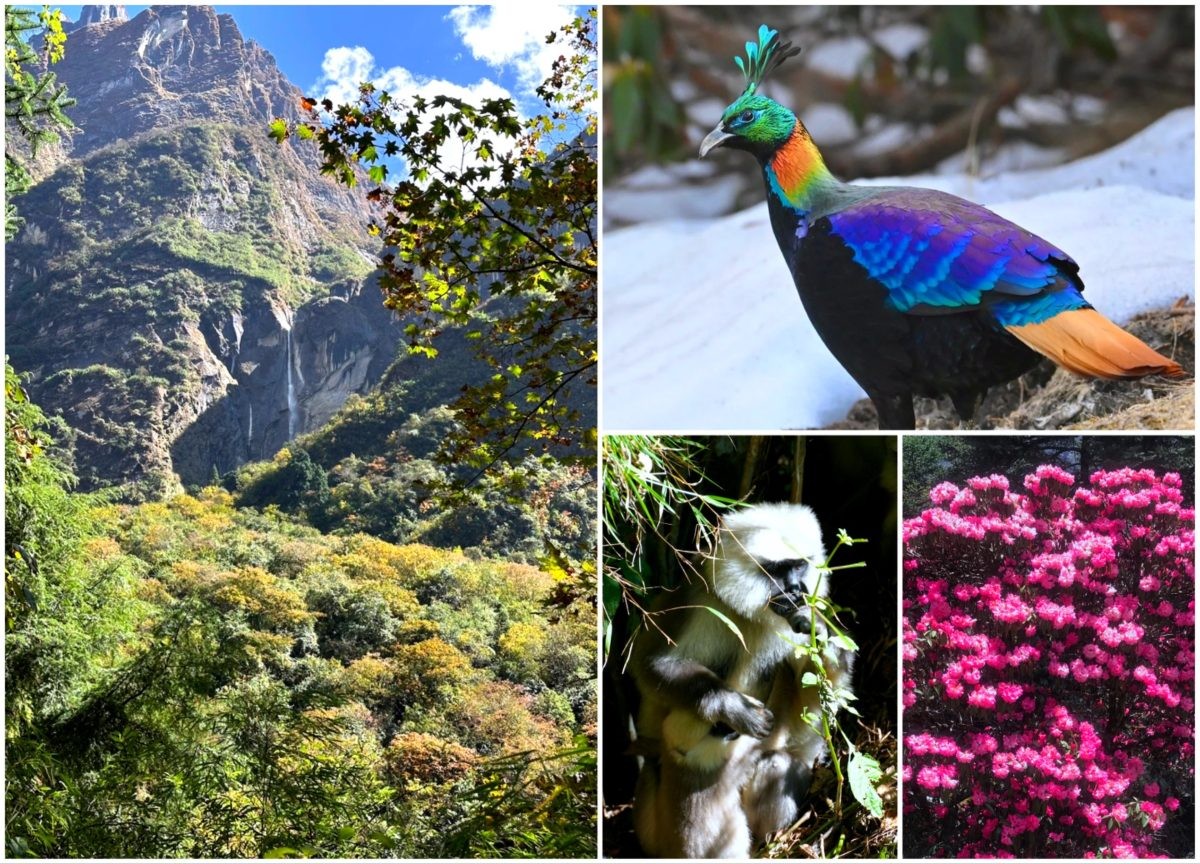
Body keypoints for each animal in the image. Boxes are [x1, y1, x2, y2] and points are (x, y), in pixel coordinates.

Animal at [630, 502, 856, 859]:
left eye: (799, 566)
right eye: (778, 570)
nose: (797, 590)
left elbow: (821, 693)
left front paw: (821, 633)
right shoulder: (702, 602)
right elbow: (652, 665)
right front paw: (731, 707)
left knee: (778, 762)